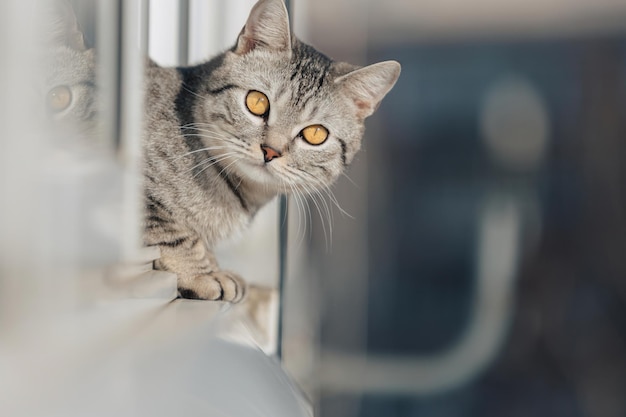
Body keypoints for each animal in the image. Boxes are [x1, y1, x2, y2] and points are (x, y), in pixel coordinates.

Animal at [143, 0, 398, 300]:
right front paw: (202, 273)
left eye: (315, 134)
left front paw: (213, 265)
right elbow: (171, 230)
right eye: (257, 102)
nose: (270, 151)